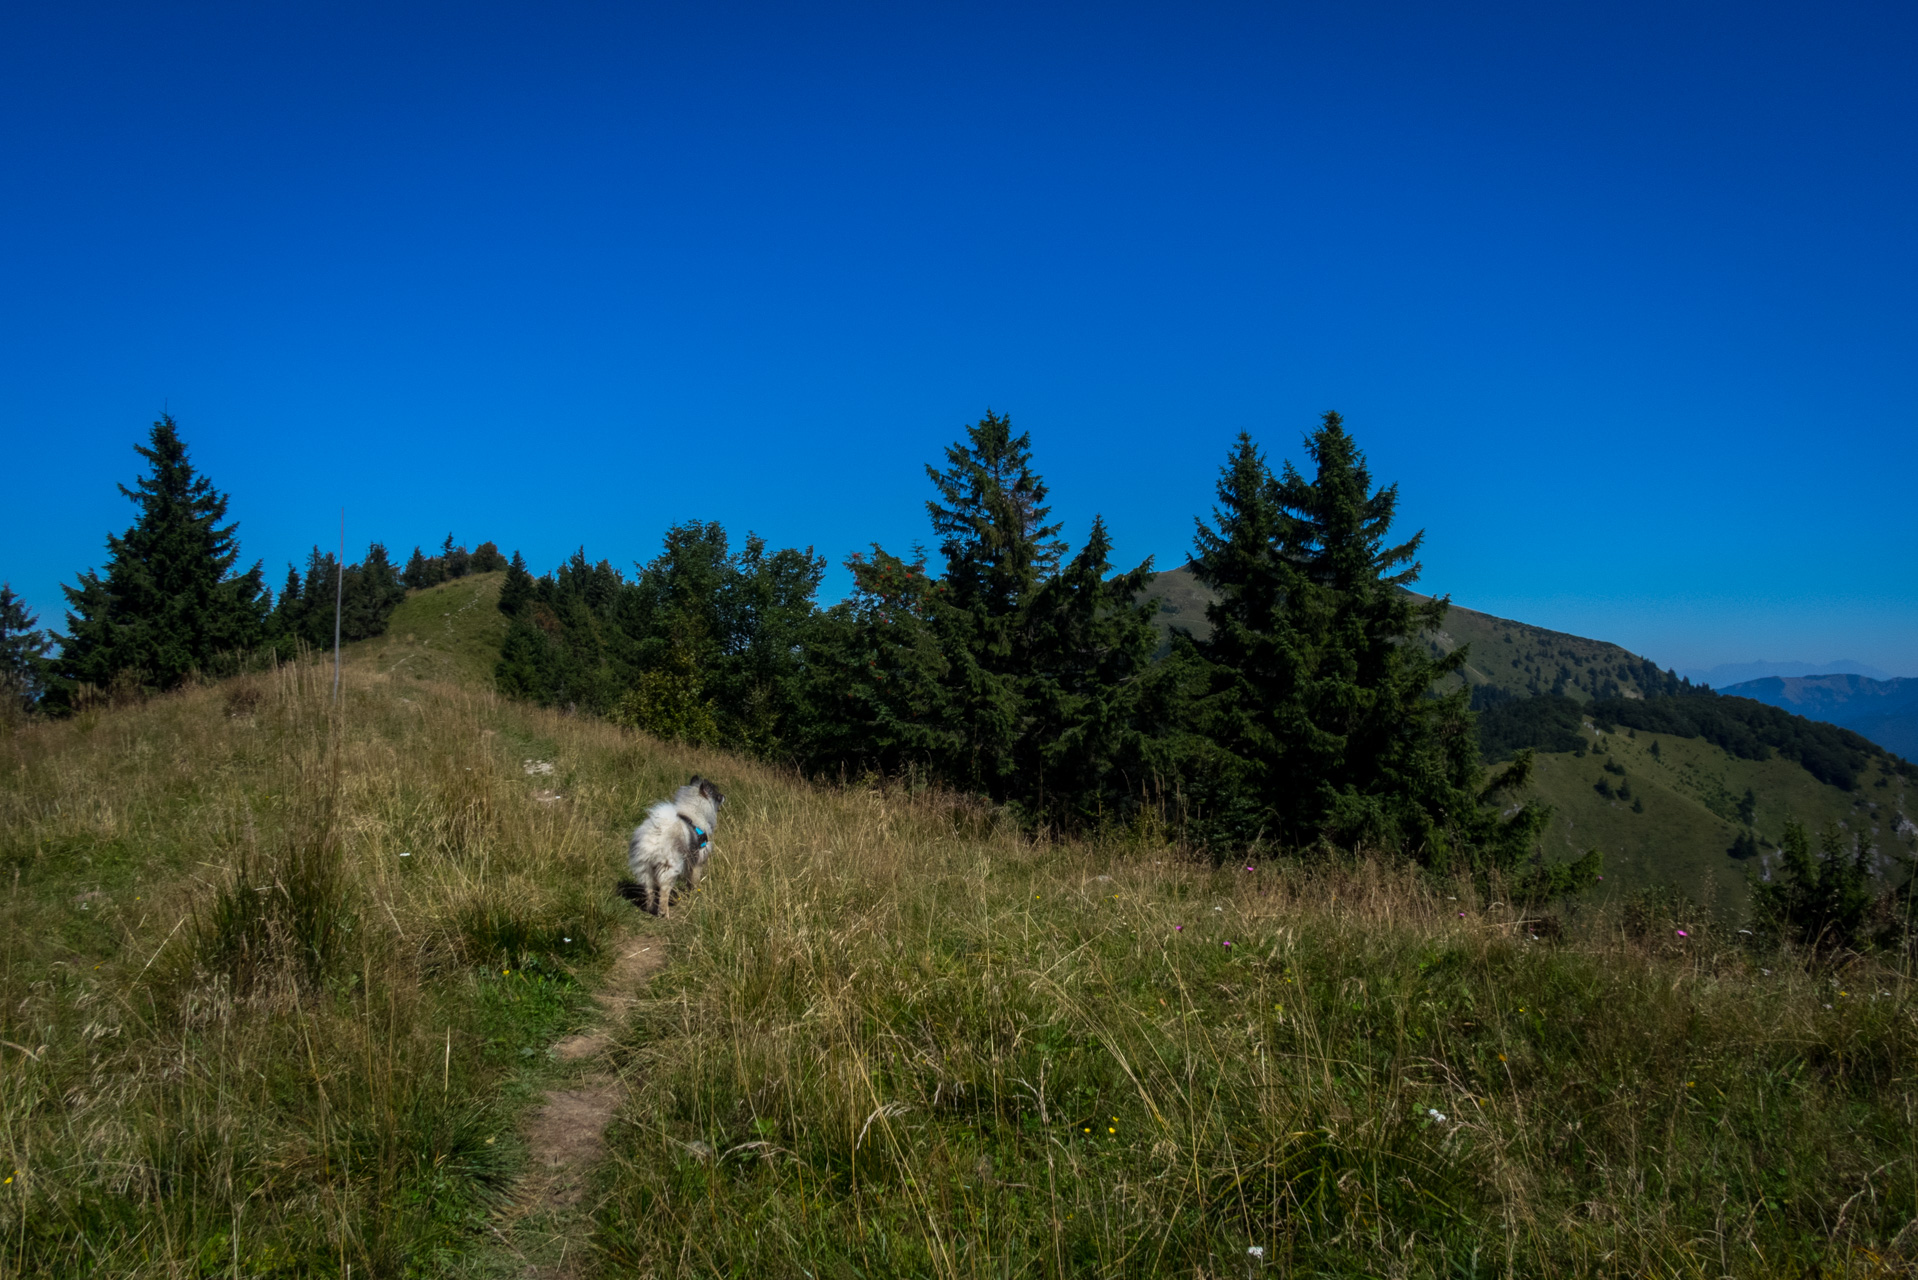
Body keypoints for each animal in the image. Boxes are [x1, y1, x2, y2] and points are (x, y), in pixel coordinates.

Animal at [625, 775, 721, 917]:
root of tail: (655, 836)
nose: (724, 796)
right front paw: (694, 895)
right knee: (664, 892)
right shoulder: (697, 863)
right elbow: (694, 882)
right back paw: (664, 913)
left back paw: (651, 908)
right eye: (717, 794)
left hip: (645, 870)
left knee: (650, 892)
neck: (695, 812)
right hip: (669, 868)